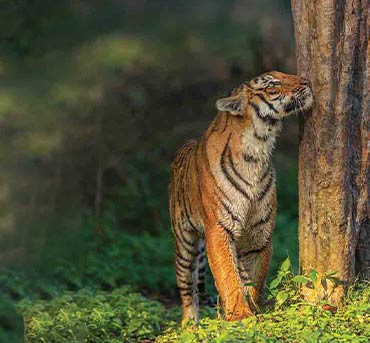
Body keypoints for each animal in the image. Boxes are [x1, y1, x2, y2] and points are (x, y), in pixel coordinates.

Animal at [169, 71, 314, 324]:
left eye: (284, 74)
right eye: (272, 85)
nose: (306, 81)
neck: (258, 147)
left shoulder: (259, 233)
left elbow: (254, 279)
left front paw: (255, 311)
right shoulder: (219, 229)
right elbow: (228, 276)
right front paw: (240, 316)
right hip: (184, 242)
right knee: (187, 288)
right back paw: (189, 325)